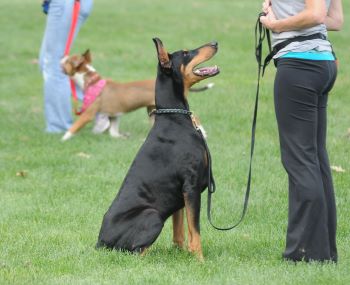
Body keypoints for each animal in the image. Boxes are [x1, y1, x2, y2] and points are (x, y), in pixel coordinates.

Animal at [59, 50, 211, 141]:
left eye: (67, 61)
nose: (61, 57)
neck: (92, 81)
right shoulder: (114, 116)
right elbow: (114, 132)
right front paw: (121, 137)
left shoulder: (88, 114)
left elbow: (74, 126)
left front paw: (63, 138)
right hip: (152, 110)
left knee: (195, 116)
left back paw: (203, 132)